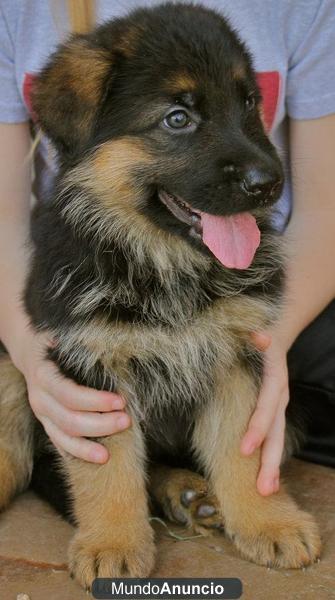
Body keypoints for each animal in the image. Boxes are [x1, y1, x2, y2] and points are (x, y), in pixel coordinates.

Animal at [0, 1, 320, 592]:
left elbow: (243, 452)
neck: (162, 261)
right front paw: (111, 543)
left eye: (248, 103)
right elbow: (108, 470)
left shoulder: (237, 357)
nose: (269, 183)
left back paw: (187, 492)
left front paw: (269, 523)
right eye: (177, 118)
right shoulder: (90, 370)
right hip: (13, 368)